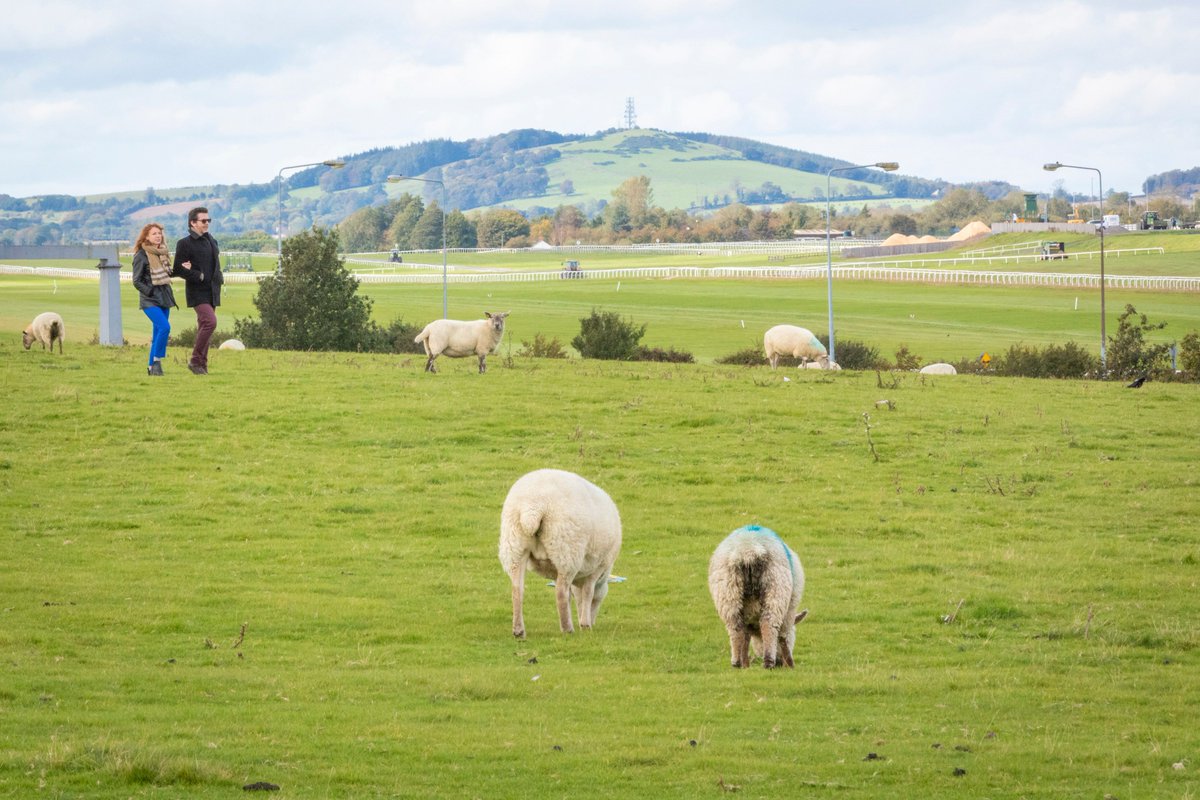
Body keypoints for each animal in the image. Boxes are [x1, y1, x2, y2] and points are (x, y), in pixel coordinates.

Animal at [501, 470, 624, 638]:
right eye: (598, 601)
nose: (591, 622)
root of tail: (532, 507)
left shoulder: (556, 569)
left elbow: (571, 595)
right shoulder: (598, 567)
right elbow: (587, 592)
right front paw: (585, 624)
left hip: (515, 546)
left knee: (517, 590)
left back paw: (519, 630)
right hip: (567, 550)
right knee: (560, 592)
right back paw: (567, 628)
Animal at [700, 525, 806, 671]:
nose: (780, 662)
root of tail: (748, 550)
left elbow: (746, 637)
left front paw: (745, 663)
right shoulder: (790, 608)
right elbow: (783, 635)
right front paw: (790, 664)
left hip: (728, 593)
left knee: (735, 628)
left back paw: (737, 662)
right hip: (775, 589)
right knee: (769, 624)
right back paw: (768, 662)